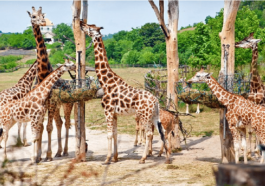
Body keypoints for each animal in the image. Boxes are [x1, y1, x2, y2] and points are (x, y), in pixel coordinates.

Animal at [27, 6, 74, 160]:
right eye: (33, 16)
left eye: (43, 15)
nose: (42, 22)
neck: (43, 74)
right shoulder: (41, 106)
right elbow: (41, 127)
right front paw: (39, 156)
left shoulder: (51, 103)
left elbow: (48, 127)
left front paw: (47, 155)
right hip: (57, 106)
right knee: (59, 122)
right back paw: (58, 151)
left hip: (67, 104)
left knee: (66, 122)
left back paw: (64, 151)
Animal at [80, 22, 169, 163]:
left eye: (90, 27)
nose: (81, 23)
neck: (106, 82)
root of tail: (155, 101)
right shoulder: (115, 114)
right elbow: (115, 134)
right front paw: (115, 157)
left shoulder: (108, 111)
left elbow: (109, 134)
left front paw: (107, 159)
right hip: (154, 115)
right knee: (161, 132)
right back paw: (166, 156)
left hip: (145, 115)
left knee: (149, 133)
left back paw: (143, 158)